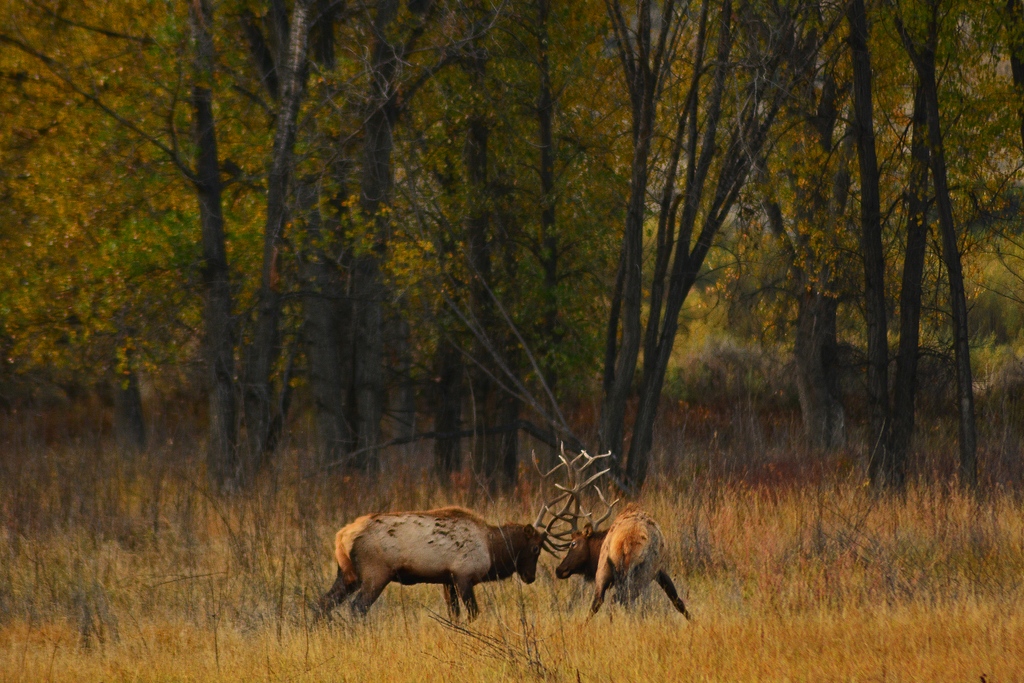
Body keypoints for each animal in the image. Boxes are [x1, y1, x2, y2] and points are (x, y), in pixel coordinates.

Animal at [315, 505, 548, 621]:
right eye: (535, 548)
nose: (530, 576)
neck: (492, 550)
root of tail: (341, 536)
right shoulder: (463, 576)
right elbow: (473, 613)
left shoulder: (447, 580)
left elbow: (454, 614)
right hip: (375, 574)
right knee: (357, 607)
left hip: (348, 574)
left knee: (323, 602)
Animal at [536, 449, 690, 618]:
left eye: (573, 543)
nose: (559, 569)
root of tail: (628, 542)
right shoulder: (658, 569)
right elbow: (675, 597)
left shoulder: (657, 570)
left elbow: (676, 599)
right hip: (639, 572)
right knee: (616, 600)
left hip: (613, 569)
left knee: (603, 601)